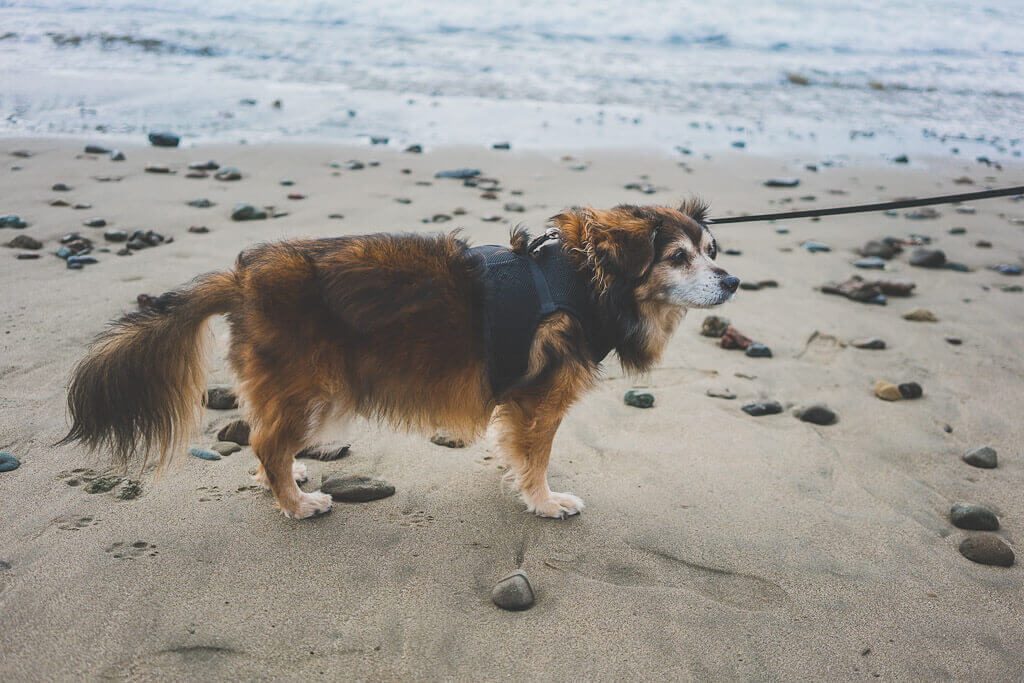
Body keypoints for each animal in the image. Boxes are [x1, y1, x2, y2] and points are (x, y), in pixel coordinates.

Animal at [61, 200, 737, 520]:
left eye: (711, 250)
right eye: (677, 258)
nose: (731, 281)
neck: (585, 277)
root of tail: (242, 278)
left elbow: (516, 451)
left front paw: (518, 482)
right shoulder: (539, 400)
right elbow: (539, 456)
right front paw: (544, 501)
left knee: (260, 436)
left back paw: (286, 484)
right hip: (312, 388)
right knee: (266, 442)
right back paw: (296, 505)